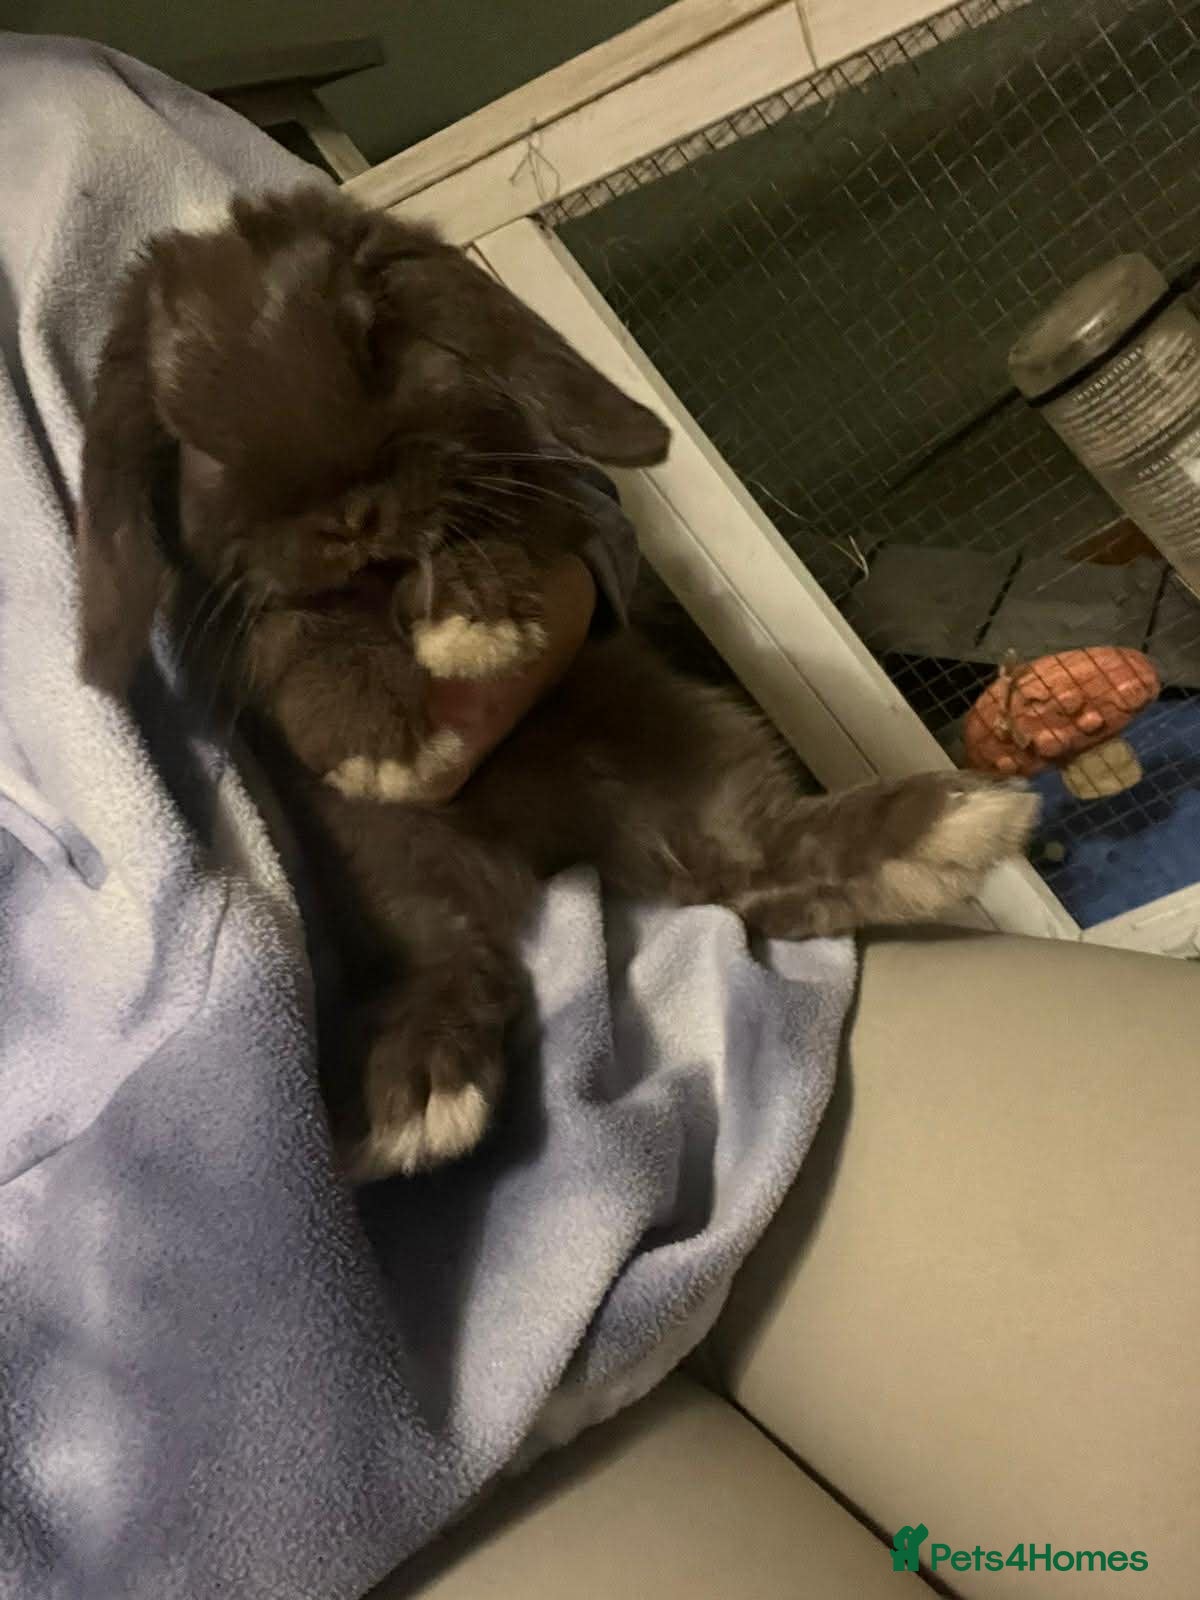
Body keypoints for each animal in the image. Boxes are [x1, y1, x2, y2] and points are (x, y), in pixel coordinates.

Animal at [76, 186, 1038, 1182]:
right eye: (193, 437)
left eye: (375, 342)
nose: (349, 515)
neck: (380, 578)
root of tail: (550, 842)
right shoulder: (246, 618)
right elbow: (298, 625)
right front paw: (377, 737)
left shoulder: (543, 494)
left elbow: (493, 523)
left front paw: (475, 625)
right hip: (387, 854)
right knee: (458, 956)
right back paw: (418, 1101)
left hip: (676, 734)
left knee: (752, 862)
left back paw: (942, 829)